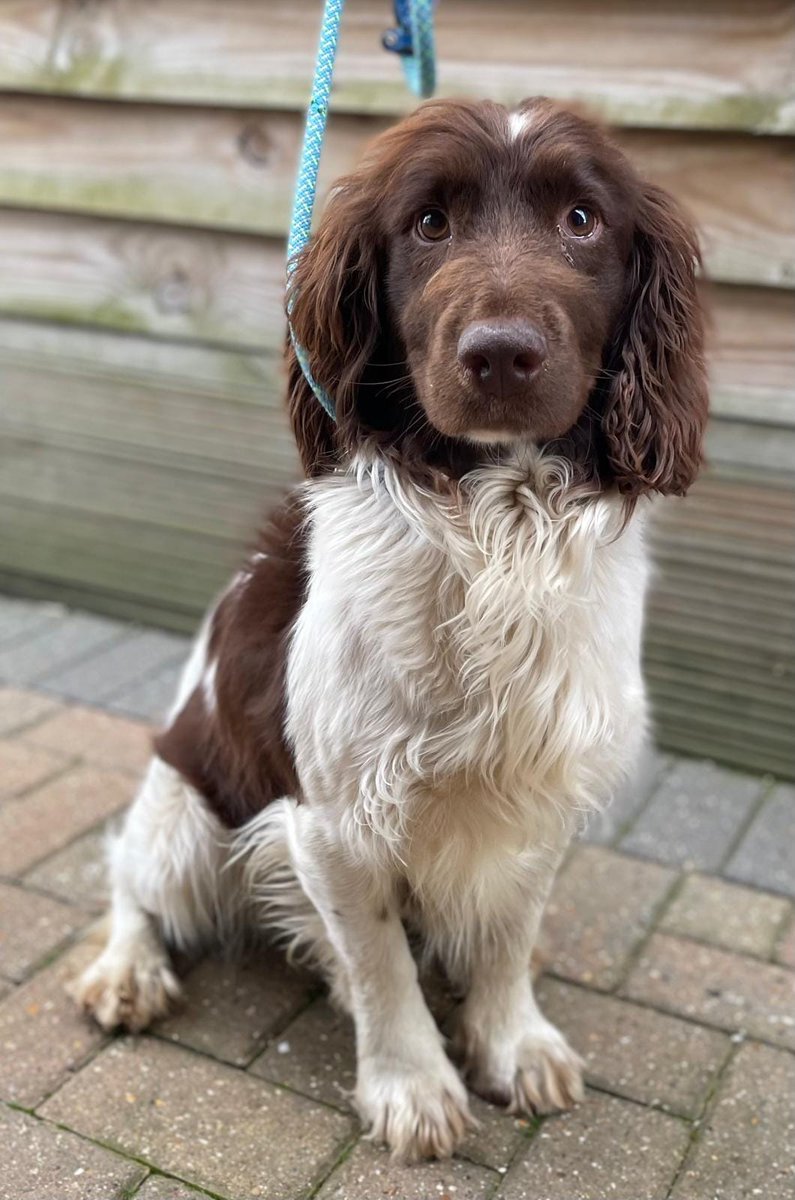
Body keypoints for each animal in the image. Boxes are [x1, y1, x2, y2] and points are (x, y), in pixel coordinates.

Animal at [71, 96, 710, 1161]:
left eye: (582, 220)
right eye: (428, 224)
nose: (499, 352)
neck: (497, 526)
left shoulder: (541, 787)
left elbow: (507, 931)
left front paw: (512, 1039)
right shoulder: (330, 818)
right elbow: (377, 963)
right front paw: (412, 1086)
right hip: (189, 808)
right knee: (131, 876)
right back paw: (127, 969)